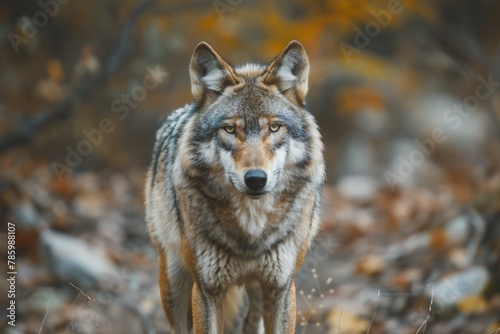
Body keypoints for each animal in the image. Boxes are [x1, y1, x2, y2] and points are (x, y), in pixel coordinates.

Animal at [145, 39, 324, 334]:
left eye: (274, 127)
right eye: (229, 130)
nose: (256, 179)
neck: (251, 231)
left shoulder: (281, 288)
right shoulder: (206, 290)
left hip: (256, 291)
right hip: (173, 280)